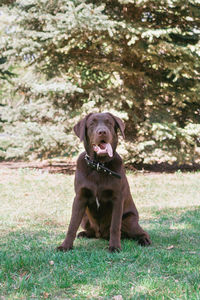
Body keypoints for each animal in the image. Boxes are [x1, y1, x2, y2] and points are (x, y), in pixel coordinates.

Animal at [57, 111, 151, 252]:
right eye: (92, 123)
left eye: (109, 123)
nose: (102, 132)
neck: (99, 166)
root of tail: (101, 234)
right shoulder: (80, 197)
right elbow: (72, 225)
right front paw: (65, 246)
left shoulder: (117, 199)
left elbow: (115, 226)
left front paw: (115, 247)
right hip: (85, 217)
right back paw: (84, 234)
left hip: (130, 220)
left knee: (141, 232)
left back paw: (144, 240)